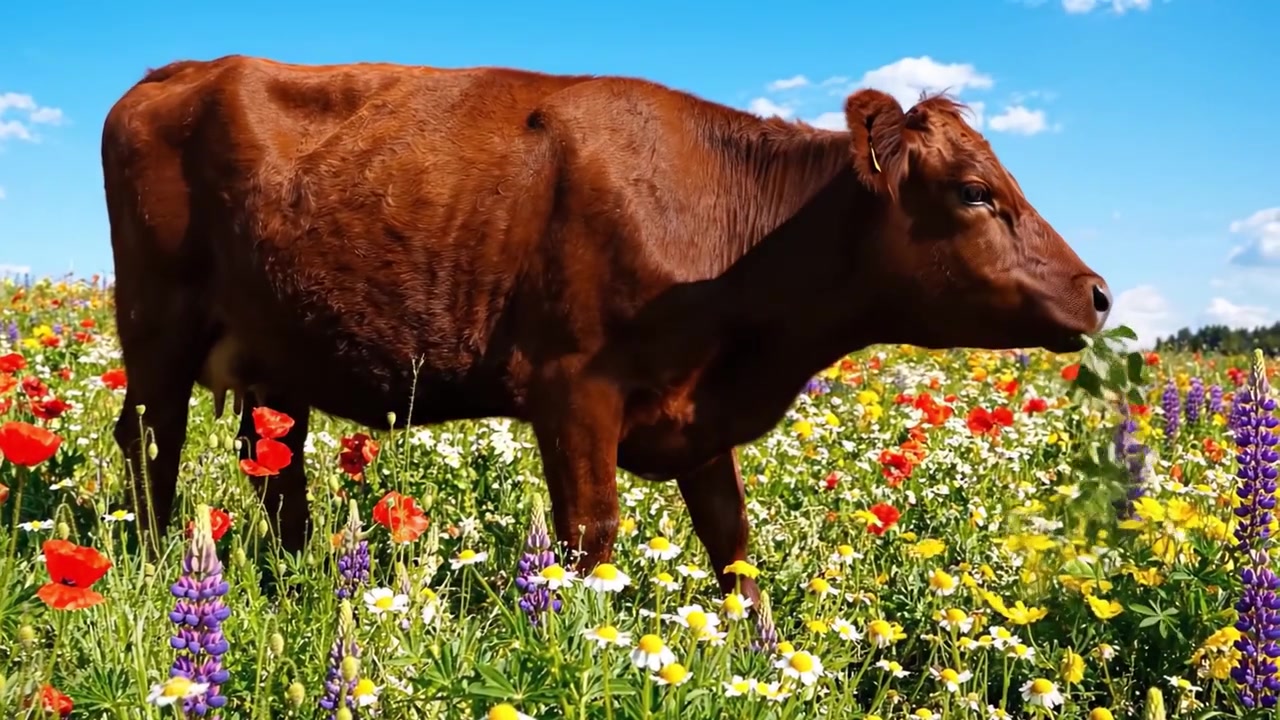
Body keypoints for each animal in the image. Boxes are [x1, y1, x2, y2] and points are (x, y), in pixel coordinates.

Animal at [101, 55, 1111, 605]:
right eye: (975, 193)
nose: (1098, 294)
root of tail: (176, 73)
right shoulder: (573, 388)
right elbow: (592, 537)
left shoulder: (699, 414)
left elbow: (733, 545)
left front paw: (754, 655)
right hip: (155, 328)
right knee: (151, 446)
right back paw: (153, 571)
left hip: (275, 365)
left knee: (279, 480)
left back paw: (301, 583)